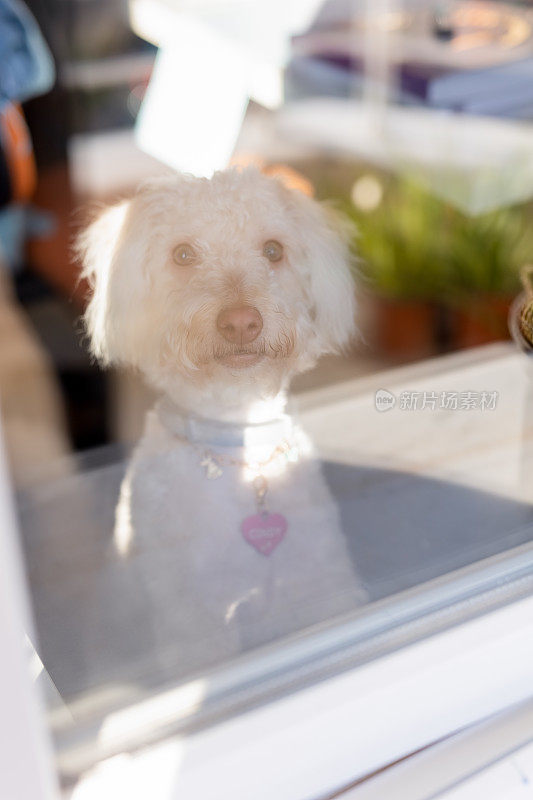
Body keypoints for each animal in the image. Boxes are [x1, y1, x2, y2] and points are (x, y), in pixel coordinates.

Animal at [79, 170, 366, 676]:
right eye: (182, 254)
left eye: (273, 250)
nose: (241, 322)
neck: (239, 441)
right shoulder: (194, 623)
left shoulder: (319, 585)